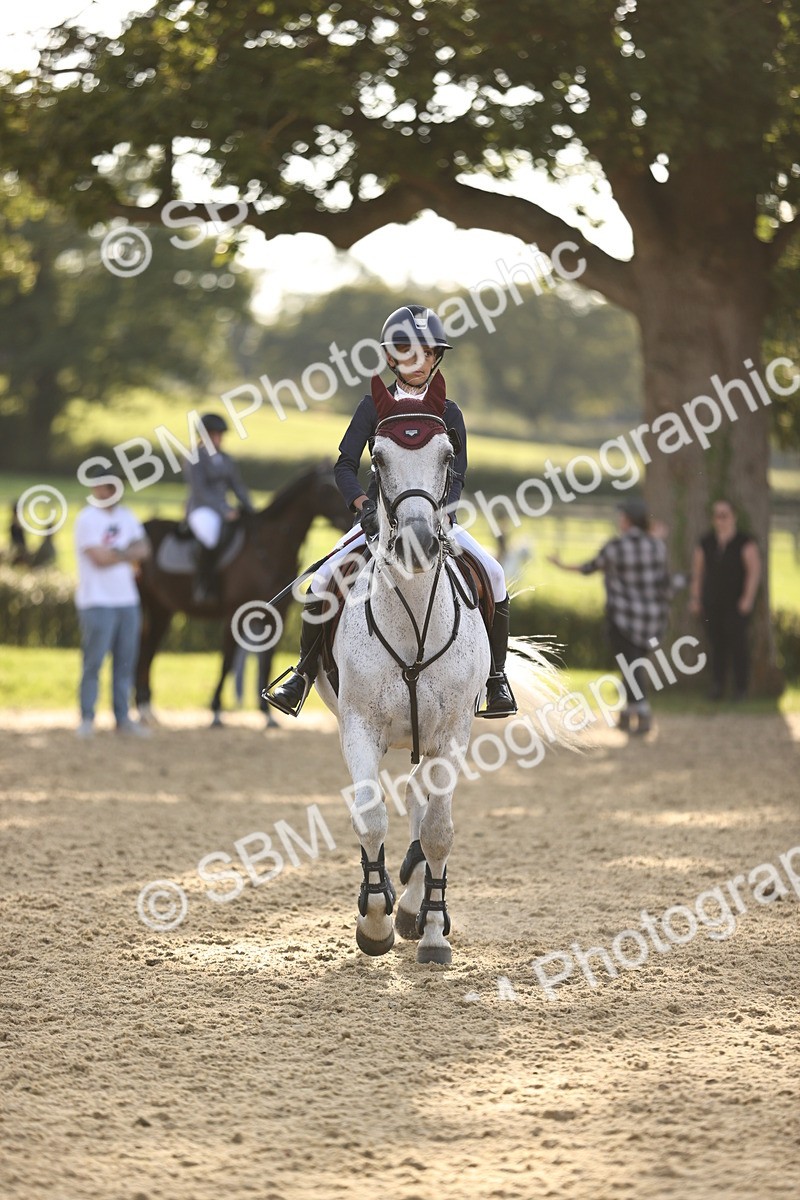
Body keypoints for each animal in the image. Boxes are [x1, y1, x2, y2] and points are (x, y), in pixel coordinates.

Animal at [135, 462, 350, 727]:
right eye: (327, 489)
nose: (352, 518)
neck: (268, 546)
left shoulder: (276, 615)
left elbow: (266, 661)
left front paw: (267, 713)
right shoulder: (234, 613)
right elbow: (227, 660)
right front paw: (216, 709)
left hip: (162, 609)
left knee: (148, 650)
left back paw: (146, 708)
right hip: (148, 603)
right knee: (143, 651)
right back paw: (142, 708)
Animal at [313, 375, 571, 965]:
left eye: (447, 454)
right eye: (379, 458)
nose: (417, 542)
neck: (411, 617)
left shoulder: (451, 731)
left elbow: (437, 830)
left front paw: (430, 929)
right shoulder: (358, 727)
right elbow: (371, 818)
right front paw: (375, 921)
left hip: (429, 737)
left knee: (422, 805)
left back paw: (415, 905)